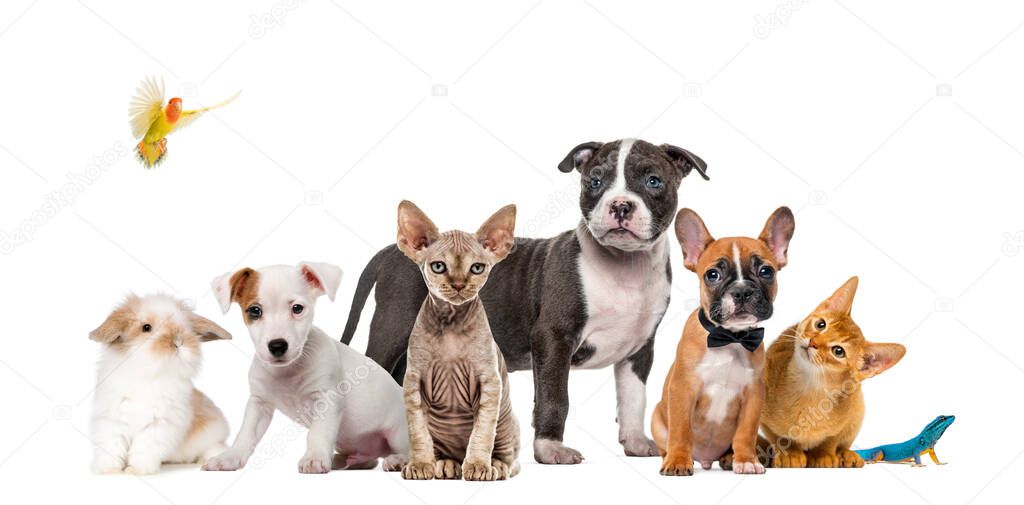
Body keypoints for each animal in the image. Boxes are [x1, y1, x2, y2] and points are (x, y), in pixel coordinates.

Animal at [88, 290, 234, 473]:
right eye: (146, 328)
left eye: (185, 328)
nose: (178, 341)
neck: (149, 375)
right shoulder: (112, 421)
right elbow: (111, 447)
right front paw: (108, 470)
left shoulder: (159, 426)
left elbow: (144, 449)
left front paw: (136, 470)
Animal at [201, 262, 409, 471]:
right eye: (254, 311)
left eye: (297, 308)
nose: (277, 345)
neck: (288, 370)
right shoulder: (259, 405)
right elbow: (246, 434)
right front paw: (229, 457)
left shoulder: (327, 399)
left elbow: (318, 432)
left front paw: (314, 458)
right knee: (368, 459)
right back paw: (343, 460)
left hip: (398, 434)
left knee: (411, 451)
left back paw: (398, 460)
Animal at [339, 138, 708, 465]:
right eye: (595, 181)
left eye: (653, 181)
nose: (620, 205)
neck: (624, 267)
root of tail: (394, 250)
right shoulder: (553, 339)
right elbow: (554, 397)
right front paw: (550, 449)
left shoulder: (640, 349)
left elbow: (633, 398)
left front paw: (635, 441)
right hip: (392, 327)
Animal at [761, 276, 905, 467]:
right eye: (820, 324)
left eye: (838, 351)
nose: (812, 342)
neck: (811, 392)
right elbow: (776, 436)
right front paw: (789, 453)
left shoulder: (846, 416)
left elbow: (831, 439)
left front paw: (823, 455)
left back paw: (847, 455)